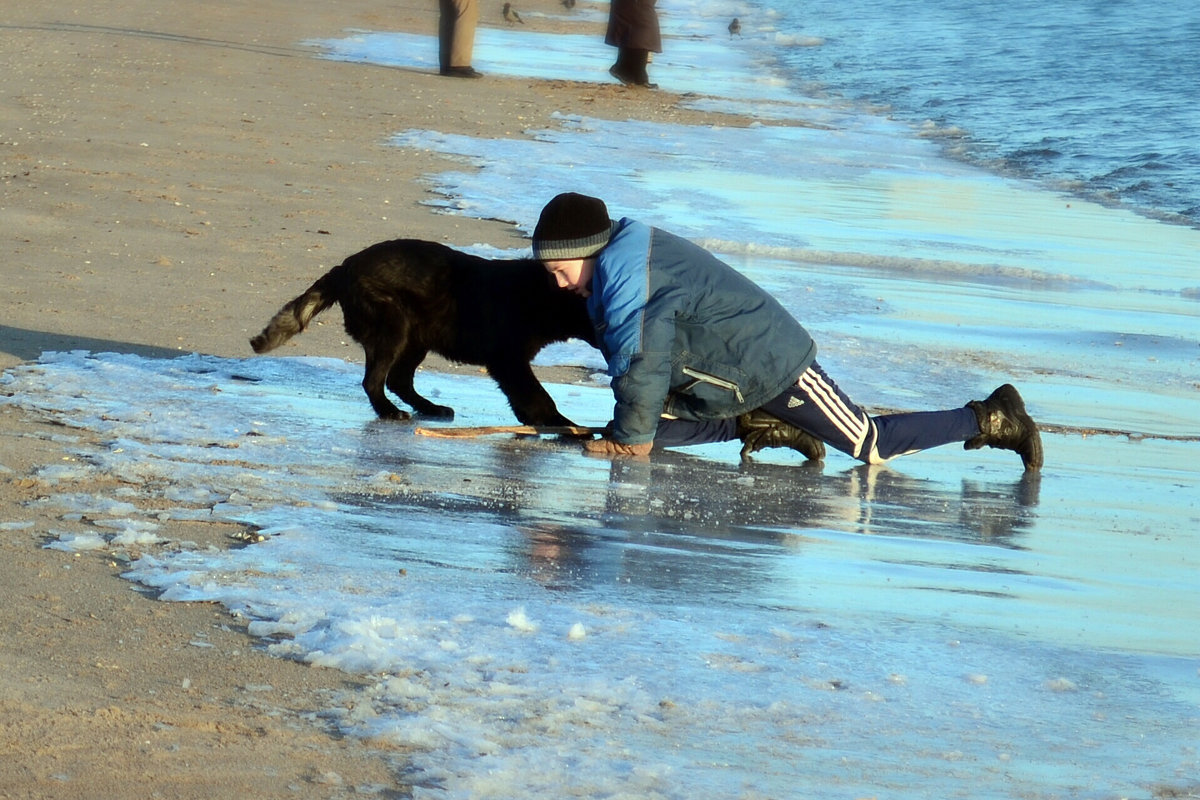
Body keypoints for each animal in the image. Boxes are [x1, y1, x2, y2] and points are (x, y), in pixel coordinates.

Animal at [249, 237, 595, 424]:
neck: (542, 296)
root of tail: (345, 268)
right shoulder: (508, 360)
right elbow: (538, 395)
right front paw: (561, 424)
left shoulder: (510, 363)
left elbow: (526, 396)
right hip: (394, 328)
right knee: (374, 381)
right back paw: (390, 412)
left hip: (416, 338)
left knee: (397, 380)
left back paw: (429, 407)